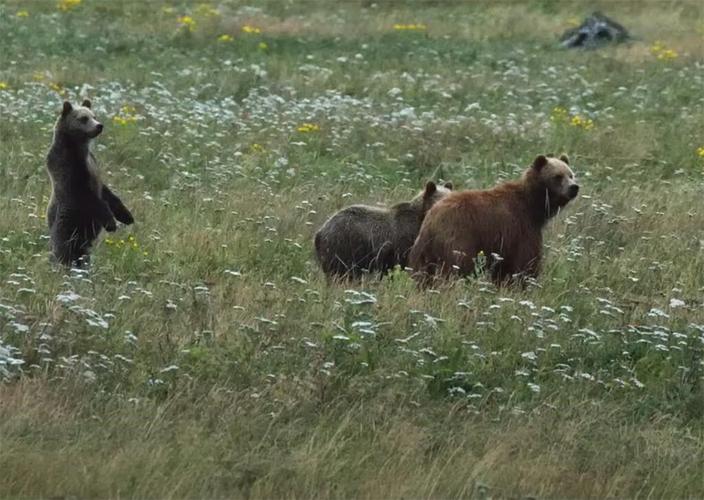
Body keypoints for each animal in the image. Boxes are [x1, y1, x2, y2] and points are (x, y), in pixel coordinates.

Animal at [46, 99, 134, 266]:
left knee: (83, 253)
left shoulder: (92, 164)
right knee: (64, 249)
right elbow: (89, 196)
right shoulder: (69, 168)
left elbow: (106, 192)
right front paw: (111, 223)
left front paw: (127, 216)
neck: (78, 146)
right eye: (83, 118)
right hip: (68, 223)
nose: (99, 126)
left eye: (94, 116)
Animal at [408, 155, 579, 286]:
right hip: (459, 239)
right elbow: (525, 262)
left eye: (571, 174)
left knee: (422, 275)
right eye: (557, 176)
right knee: (456, 268)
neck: (533, 206)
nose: (574, 187)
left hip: (423, 251)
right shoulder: (520, 227)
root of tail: (431, 221)